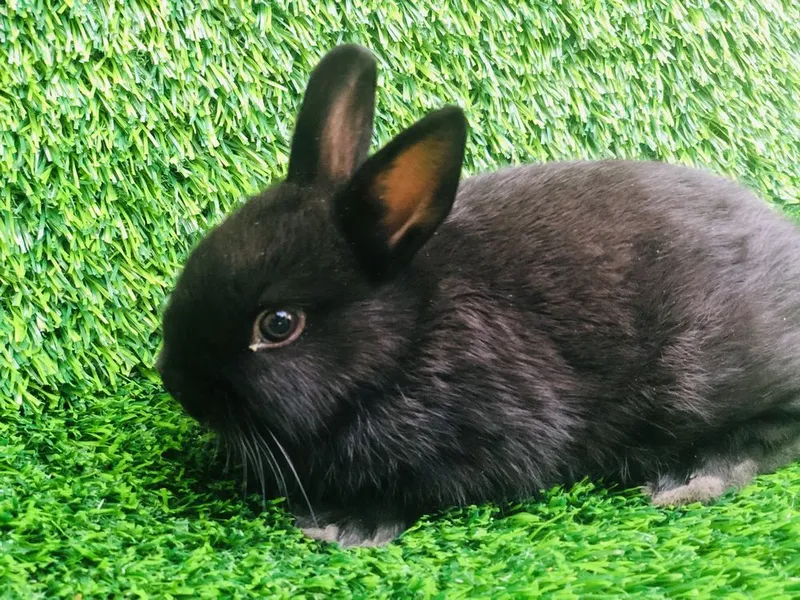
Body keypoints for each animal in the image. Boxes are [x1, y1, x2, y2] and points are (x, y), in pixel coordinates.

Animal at [157, 44, 800, 547]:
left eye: (278, 324)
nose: (175, 381)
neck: (409, 335)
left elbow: (429, 486)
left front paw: (346, 525)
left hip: (701, 378)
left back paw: (690, 480)